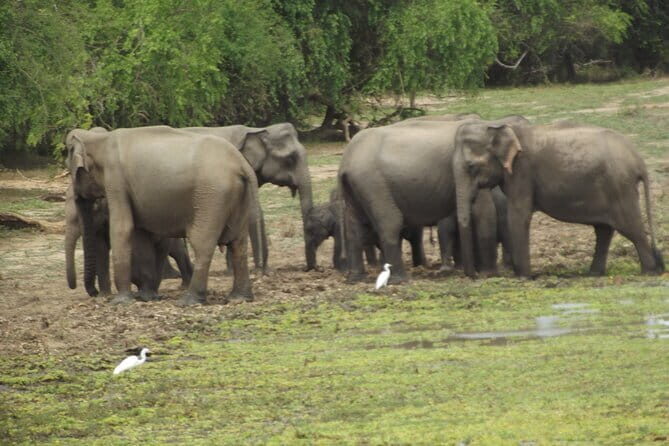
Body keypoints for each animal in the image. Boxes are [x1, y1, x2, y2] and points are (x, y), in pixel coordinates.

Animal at [64, 185, 193, 299]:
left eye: (95, 207)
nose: (94, 293)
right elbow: (101, 248)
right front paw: (104, 296)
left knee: (174, 250)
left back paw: (182, 285)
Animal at [453, 120, 665, 277]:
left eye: (471, 166)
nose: (474, 276)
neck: (497, 126)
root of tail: (638, 160)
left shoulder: (522, 172)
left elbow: (519, 216)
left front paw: (524, 277)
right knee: (604, 230)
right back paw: (594, 274)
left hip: (620, 187)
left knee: (630, 227)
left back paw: (650, 271)